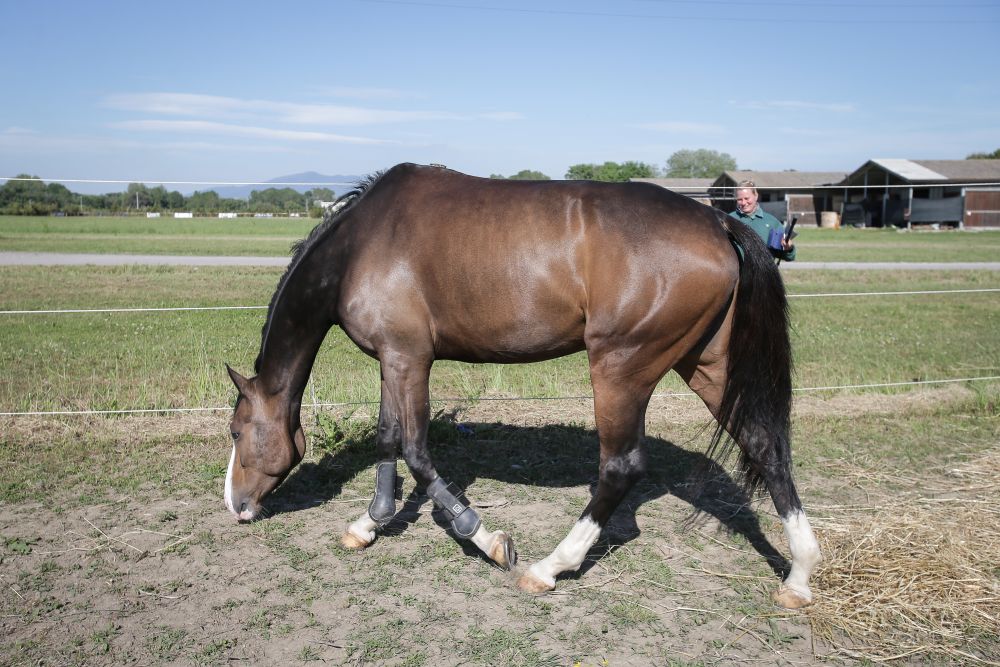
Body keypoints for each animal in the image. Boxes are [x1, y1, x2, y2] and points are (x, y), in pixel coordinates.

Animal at [224, 163, 821, 609]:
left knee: (621, 467)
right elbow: (388, 440)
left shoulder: (409, 361)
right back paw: (798, 576)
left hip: (620, 367)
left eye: (235, 431)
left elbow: (416, 453)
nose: (235, 505)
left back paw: (549, 566)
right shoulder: (394, 362)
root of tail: (718, 223)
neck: (361, 245)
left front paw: (485, 538)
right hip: (706, 364)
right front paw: (368, 524)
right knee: (765, 446)